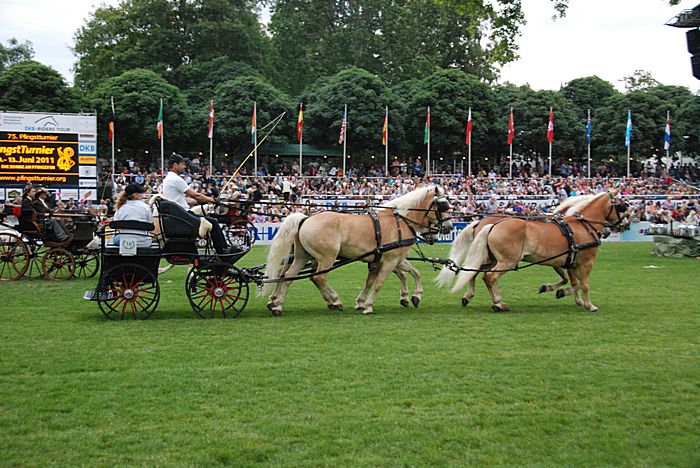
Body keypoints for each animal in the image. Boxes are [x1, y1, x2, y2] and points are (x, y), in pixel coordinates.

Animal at [261, 185, 452, 315]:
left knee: (287, 276)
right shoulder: (390, 260)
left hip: (302, 256)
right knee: (318, 277)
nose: (449, 227)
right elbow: (380, 282)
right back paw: (334, 300)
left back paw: (278, 304)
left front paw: (414, 296)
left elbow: (410, 273)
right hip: (326, 258)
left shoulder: (389, 260)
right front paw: (368, 305)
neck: (400, 221)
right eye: (443, 206)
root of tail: (305, 218)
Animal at [438, 189, 628, 312]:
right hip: (507, 260)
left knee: (477, 273)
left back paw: (476, 297)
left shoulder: (569, 262)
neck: (581, 226)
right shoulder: (585, 262)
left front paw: (568, 295)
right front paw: (589, 305)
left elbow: (573, 282)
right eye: (622, 206)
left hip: (492, 258)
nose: (625, 224)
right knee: (490, 276)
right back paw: (498, 303)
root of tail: (491, 225)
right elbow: (584, 284)